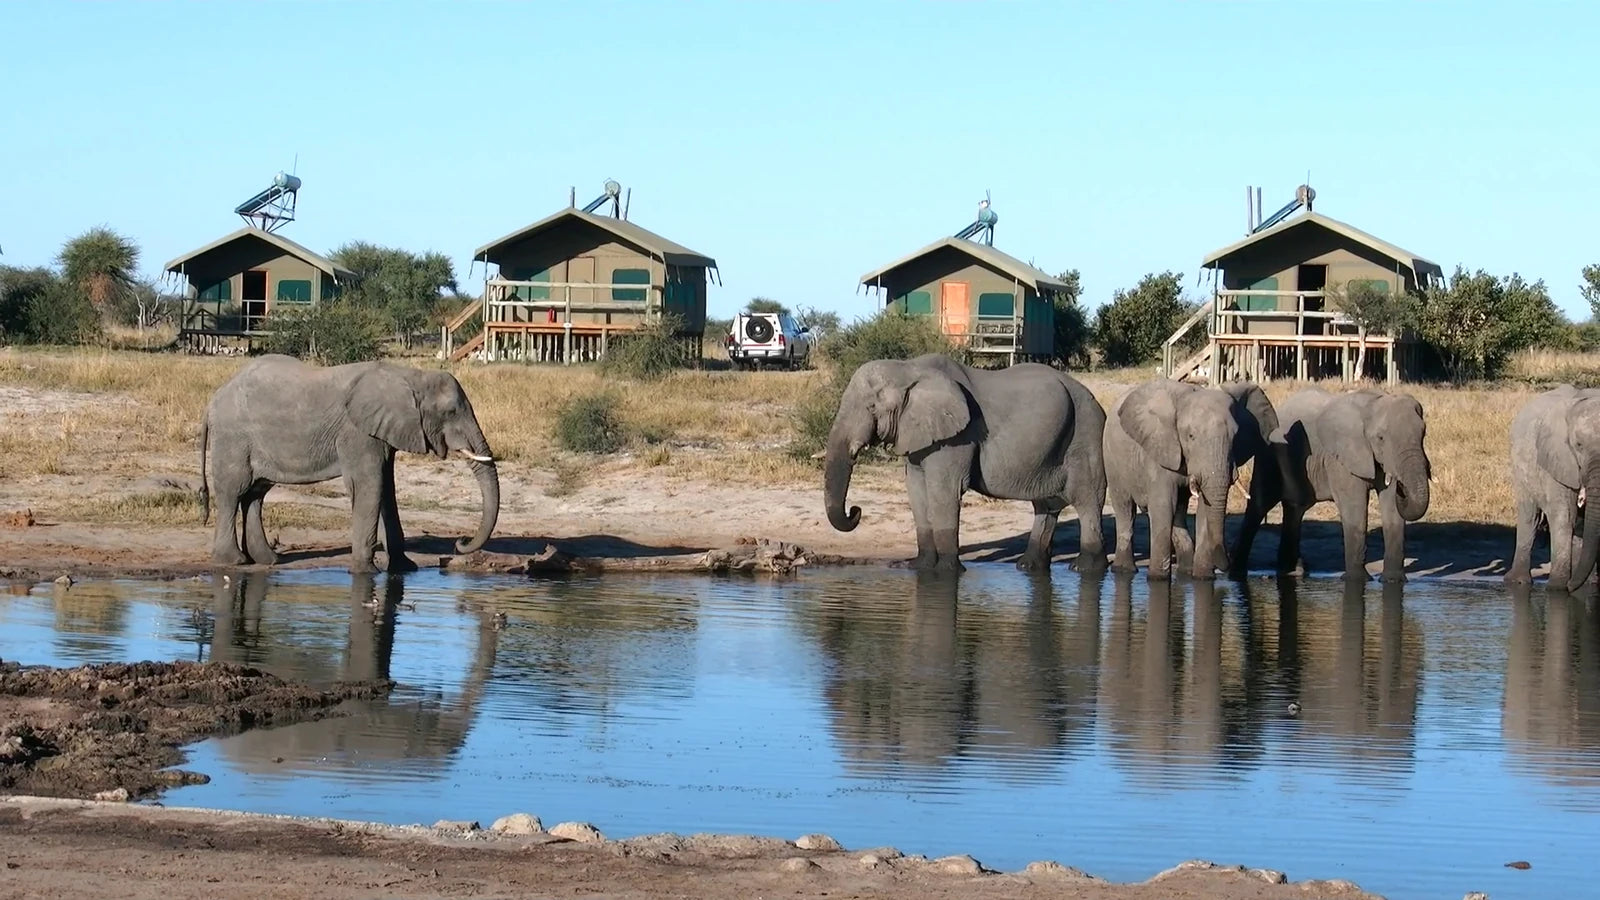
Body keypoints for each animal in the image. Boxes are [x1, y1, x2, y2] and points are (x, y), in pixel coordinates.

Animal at [198, 354, 499, 574]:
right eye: (451, 412)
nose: (460, 542)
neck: (409, 376)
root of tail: (212, 400)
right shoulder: (357, 432)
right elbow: (369, 486)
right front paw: (367, 573)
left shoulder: (382, 433)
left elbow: (386, 489)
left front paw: (405, 569)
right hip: (233, 438)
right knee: (233, 492)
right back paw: (233, 561)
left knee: (255, 494)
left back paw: (267, 560)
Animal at [822, 354, 1107, 573]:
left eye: (871, 407)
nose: (856, 511)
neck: (908, 368)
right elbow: (916, 491)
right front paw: (921, 568)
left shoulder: (958, 436)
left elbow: (943, 492)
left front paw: (947, 572)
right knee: (1046, 506)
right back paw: (1028, 566)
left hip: (1087, 433)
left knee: (1087, 500)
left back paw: (1085, 568)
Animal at [1103, 378, 1280, 579]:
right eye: (1191, 436)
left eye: (1235, 437)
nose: (1227, 565)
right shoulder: (1160, 452)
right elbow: (1163, 506)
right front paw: (1158, 579)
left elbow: (1204, 509)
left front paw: (1203, 578)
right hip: (1111, 458)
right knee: (1125, 508)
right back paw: (1124, 570)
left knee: (1178, 510)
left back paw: (1186, 572)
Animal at [1231, 386, 1431, 583]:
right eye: (1380, 438)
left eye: (1423, 434)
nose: (1402, 489)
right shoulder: (1341, 457)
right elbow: (1355, 507)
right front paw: (1357, 580)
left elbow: (1391, 507)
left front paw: (1393, 581)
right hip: (1268, 454)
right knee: (1260, 505)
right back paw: (1238, 573)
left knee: (1296, 508)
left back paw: (1293, 572)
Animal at [1506, 384, 1600, 589]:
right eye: (1578, 445)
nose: (1570, 586)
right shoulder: (1557, 459)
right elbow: (1564, 516)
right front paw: (1557, 588)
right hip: (1520, 467)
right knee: (1530, 517)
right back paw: (1518, 581)